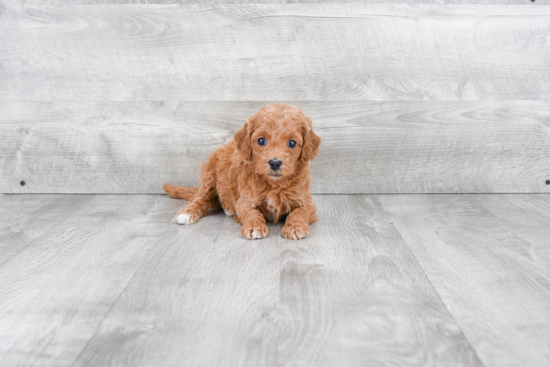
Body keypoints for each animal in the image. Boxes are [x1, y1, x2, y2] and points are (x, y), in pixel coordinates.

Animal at [162, 103, 322, 242]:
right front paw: (254, 227)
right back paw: (187, 213)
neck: (274, 184)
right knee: (202, 198)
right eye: (261, 141)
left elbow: (299, 212)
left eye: (292, 143)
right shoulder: (246, 200)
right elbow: (251, 212)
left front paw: (295, 227)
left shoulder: (306, 202)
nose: (275, 163)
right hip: (210, 177)